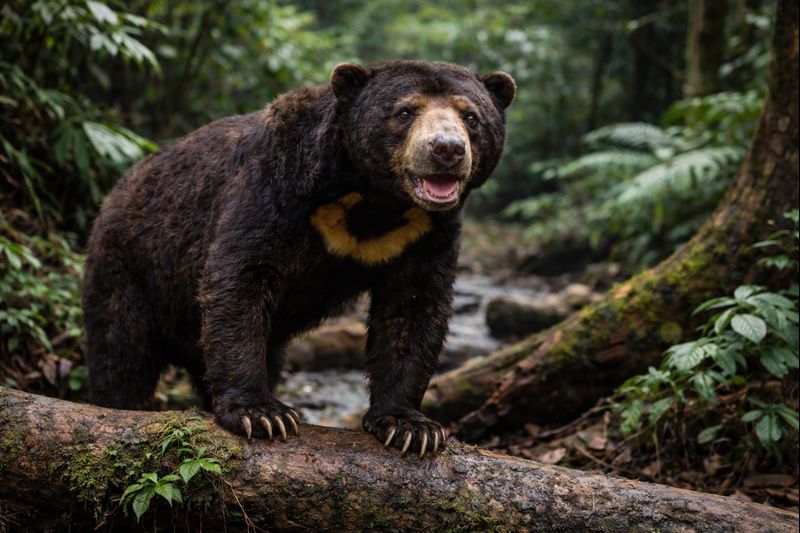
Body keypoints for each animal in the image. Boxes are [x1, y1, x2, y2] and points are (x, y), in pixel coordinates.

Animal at [82, 60, 515, 456]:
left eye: (471, 117)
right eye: (405, 111)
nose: (447, 149)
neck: (374, 200)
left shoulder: (426, 232)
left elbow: (412, 307)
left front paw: (410, 426)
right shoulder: (277, 187)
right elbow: (241, 276)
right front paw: (260, 413)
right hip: (129, 267)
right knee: (121, 351)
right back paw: (118, 401)